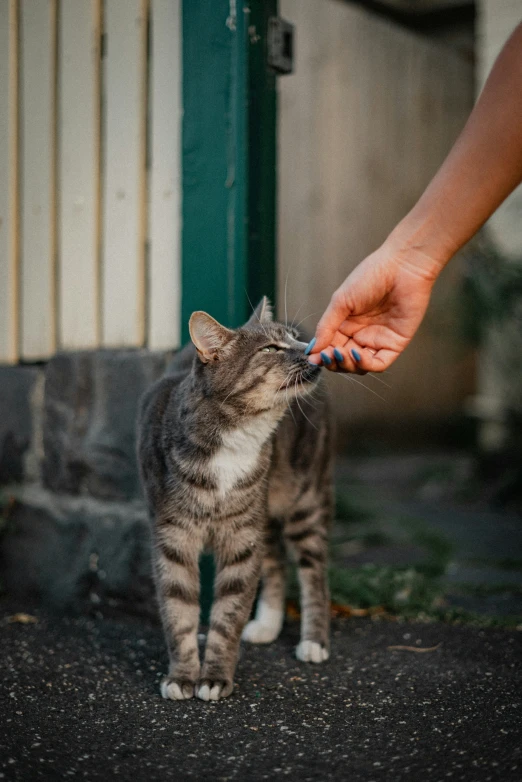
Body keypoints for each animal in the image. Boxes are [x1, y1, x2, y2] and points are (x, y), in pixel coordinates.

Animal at [137, 298, 334, 704]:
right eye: (271, 349)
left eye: (294, 339)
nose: (312, 348)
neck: (235, 440)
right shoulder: (173, 538)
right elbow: (178, 610)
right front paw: (182, 676)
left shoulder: (242, 540)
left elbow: (228, 614)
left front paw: (213, 677)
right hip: (264, 514)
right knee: (276, 562)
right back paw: (267, 625)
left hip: (304, 500)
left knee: (314, 571)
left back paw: (313, 642)